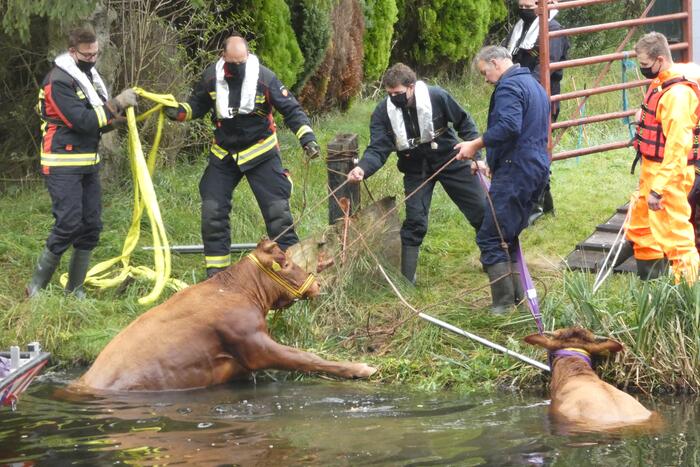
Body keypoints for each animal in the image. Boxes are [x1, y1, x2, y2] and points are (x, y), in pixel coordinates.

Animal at [75, 239, 377, 391]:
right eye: (286, 262)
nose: (317, 284)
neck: (241, 291)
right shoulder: (252, 342)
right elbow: (307, 357)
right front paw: (361, 368)